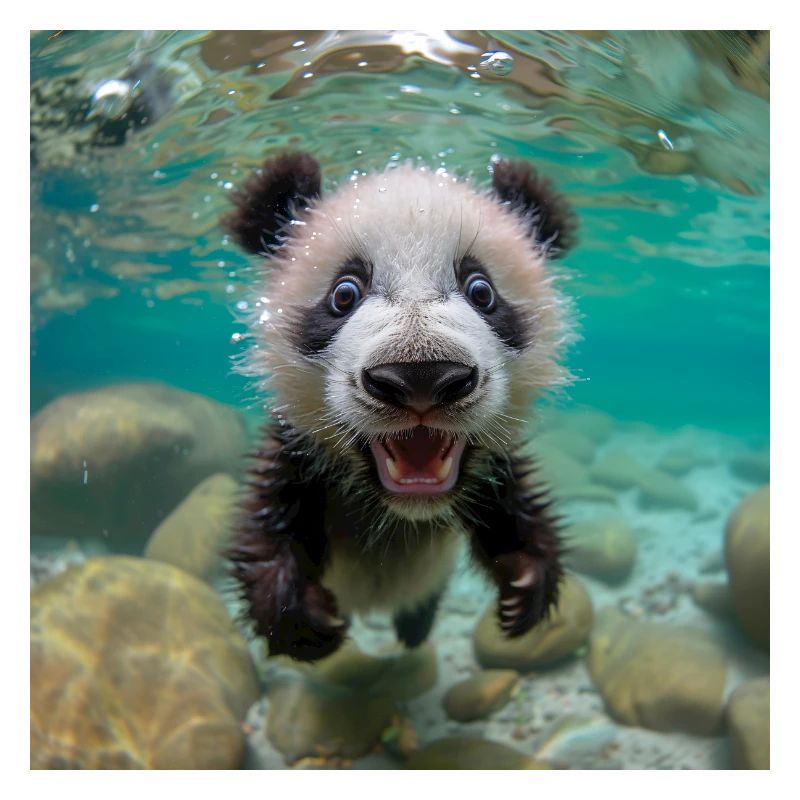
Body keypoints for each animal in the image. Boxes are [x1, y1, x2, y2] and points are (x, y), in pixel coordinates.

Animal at [222, 151, 577, 662]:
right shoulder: (296, 451)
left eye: (482, 291)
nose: (421, 376)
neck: (401, 511)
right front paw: (300, 619)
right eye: (344, 293)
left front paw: (525, 586)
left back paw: (414, 626)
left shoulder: (496, 463)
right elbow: (266, 529)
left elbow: (520, 510)